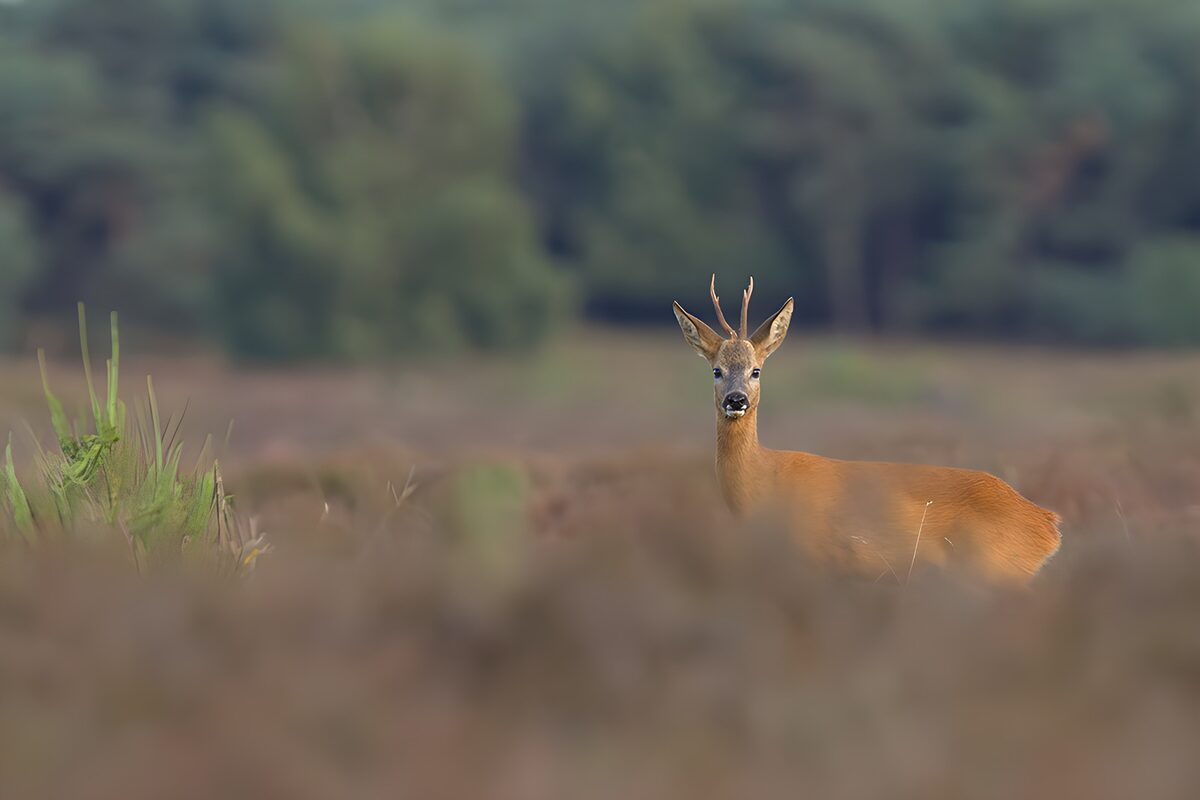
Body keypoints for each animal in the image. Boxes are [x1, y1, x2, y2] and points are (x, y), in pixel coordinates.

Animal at [673, 276, 1062, 584]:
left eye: (756, 370)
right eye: (717, 370)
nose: (736, 400)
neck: (764, 479)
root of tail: (1048, 525)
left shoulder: (816, 558)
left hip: (992, 569)